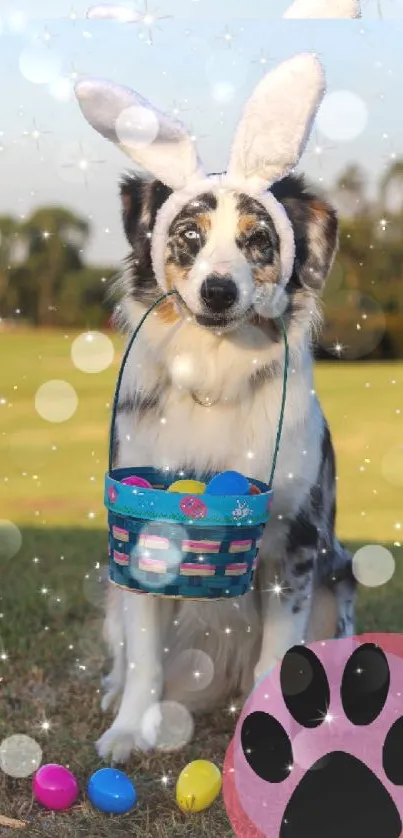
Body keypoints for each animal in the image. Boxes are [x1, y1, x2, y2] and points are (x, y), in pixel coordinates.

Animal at [76, 50, 356, 760]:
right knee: (127, 652)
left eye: (260, 241)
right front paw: (128, 732)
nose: (220, 290)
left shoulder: (298, 546)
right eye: (188, 235)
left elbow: (279, 657)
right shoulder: (143, 537)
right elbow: (145, 656)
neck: (215, 371)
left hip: (339, 580)